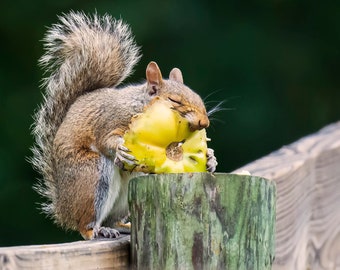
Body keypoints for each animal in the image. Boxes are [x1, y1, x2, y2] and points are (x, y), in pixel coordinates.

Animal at [31, 11, 218, 239]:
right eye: (174, 101)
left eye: (198, 98)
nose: (204, 122)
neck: (139, 106)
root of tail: (63, 208)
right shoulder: (109, 120)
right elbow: (106, 140)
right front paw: (120, 149)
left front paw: (210, 159)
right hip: (92, 175)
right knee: (85, 224)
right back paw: (96, 230)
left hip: (130, 185)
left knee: (113, 216)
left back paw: (121, 226)